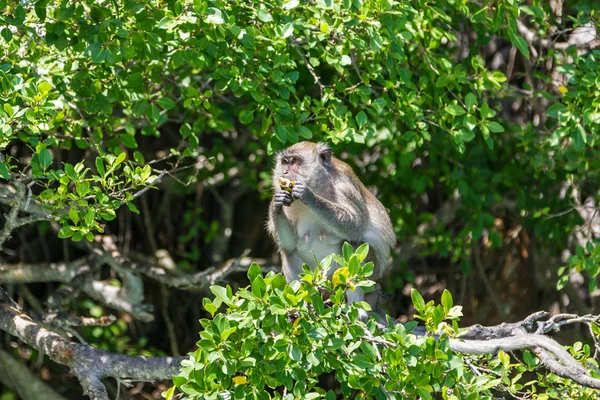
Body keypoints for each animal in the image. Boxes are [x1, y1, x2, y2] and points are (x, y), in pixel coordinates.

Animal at [266, 142, 396, 320]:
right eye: (284, 162)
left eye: (294, 161)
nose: (284, 172)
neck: (318, 185)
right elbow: (289, 243)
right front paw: (276, 203)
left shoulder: (344, 187)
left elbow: (355, 226)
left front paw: (309, 196)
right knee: (288, 252)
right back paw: (299, 308)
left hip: (370, 279)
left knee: (355, 244)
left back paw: (356, 309)